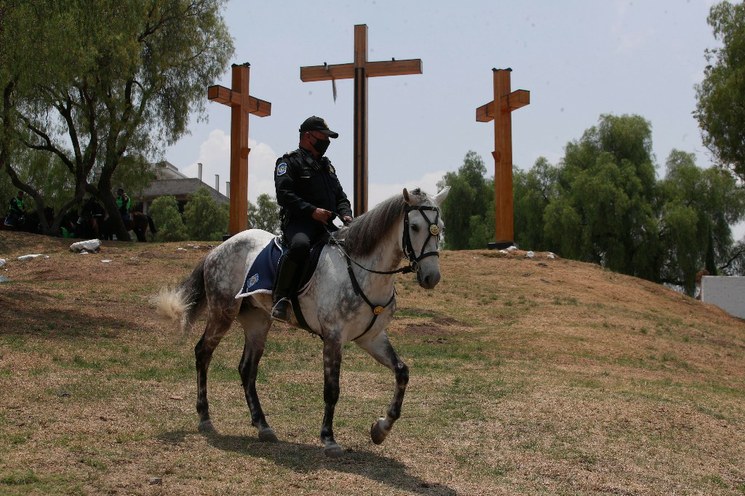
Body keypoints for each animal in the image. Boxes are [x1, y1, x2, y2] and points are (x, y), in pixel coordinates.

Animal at [153, 187, 448, 458]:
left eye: (440, 229)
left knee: (247, 369)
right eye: (414, 226)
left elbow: (402, 372)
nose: (431, 278)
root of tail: (218, 248)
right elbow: (332, 389)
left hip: (258, 322)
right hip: (222, 312)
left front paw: (381, 429)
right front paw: (329, 438)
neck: (362, 270)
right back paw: (205, 417)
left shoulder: (371, 338)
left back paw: (263, 426)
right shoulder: (333, 338)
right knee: (203, 353)